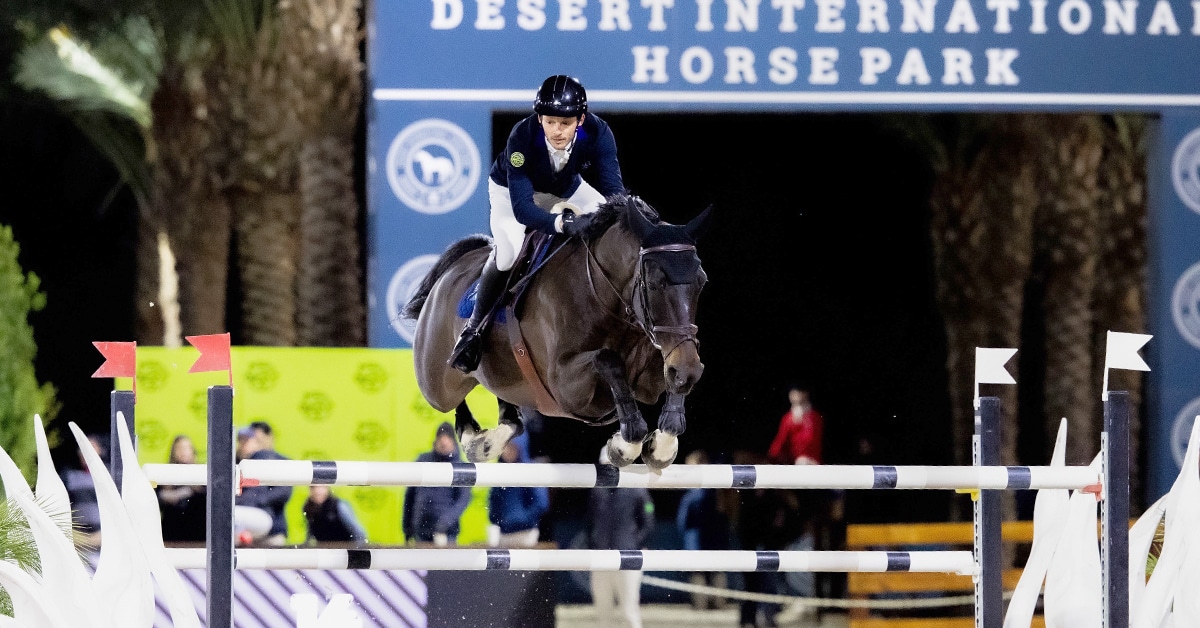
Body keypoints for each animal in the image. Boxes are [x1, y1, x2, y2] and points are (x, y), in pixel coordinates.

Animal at [402, 194, 712, 470]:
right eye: (655, 282)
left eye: (701, 281)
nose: (688, 369)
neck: (602, 291)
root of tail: (453, 270)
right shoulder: (566, 387)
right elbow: (608, 359)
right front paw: (624, 446)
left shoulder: (655, 370)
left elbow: (667, 380)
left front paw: (662, 445)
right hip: (436, 383)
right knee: (451, 398)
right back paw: (471, 433)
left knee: (508, 410)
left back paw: (487, 442)